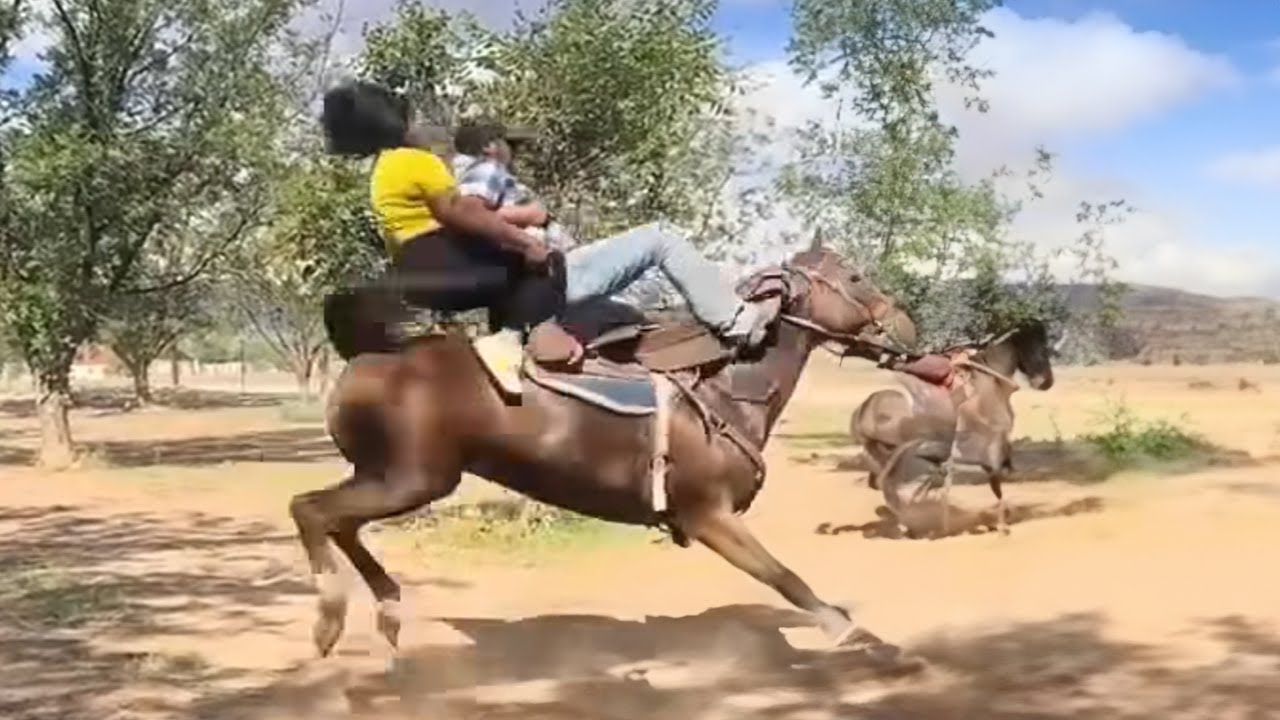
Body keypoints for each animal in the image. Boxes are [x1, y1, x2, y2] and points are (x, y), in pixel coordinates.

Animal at [292, 243, 920, 666]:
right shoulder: (709, 516)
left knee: (339, 522)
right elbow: (785, 578)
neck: (725, 384)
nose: (907, 325)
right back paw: (330, 620)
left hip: (392, 477)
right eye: (855, 276)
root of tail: (369, 356)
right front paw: (855, 634)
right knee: (312, 511)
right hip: (411, 478)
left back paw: (388, 613)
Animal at [848, 320, 1059, 537]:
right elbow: (995, 482)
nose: (1046, 381)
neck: (990, 381)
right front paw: (1001, 526)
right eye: (1037, 345)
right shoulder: (988, 445)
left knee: (887, 487)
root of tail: (862, 412)